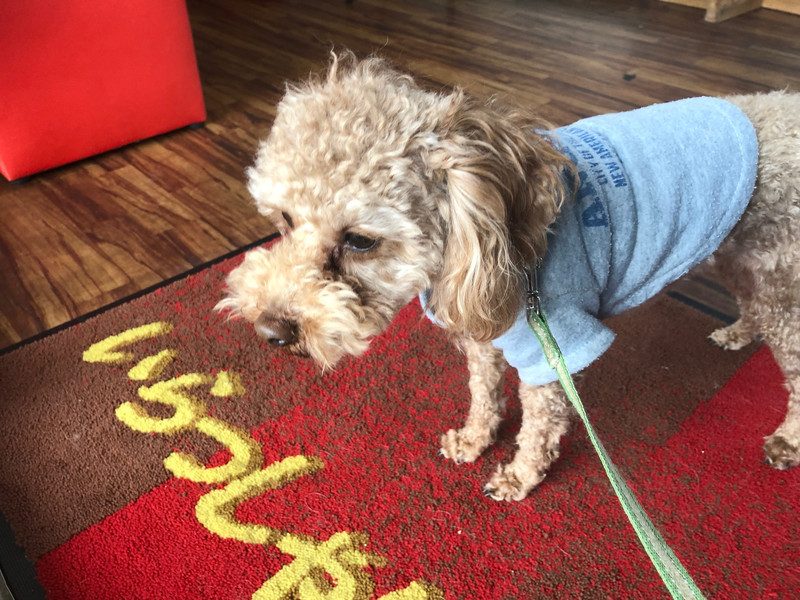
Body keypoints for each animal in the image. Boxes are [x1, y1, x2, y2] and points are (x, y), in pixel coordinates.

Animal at [217, 53, 800, 501]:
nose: (271, 331)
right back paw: (739, 333)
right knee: (751, 304)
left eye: (361, 241)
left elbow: (539, 424)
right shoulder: (485, 332)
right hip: (738, 254)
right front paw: (475, 440)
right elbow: (483, 391)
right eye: (284, 219)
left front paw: (520, 476)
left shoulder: (552, 344)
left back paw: (788, 438)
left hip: (781, 284)